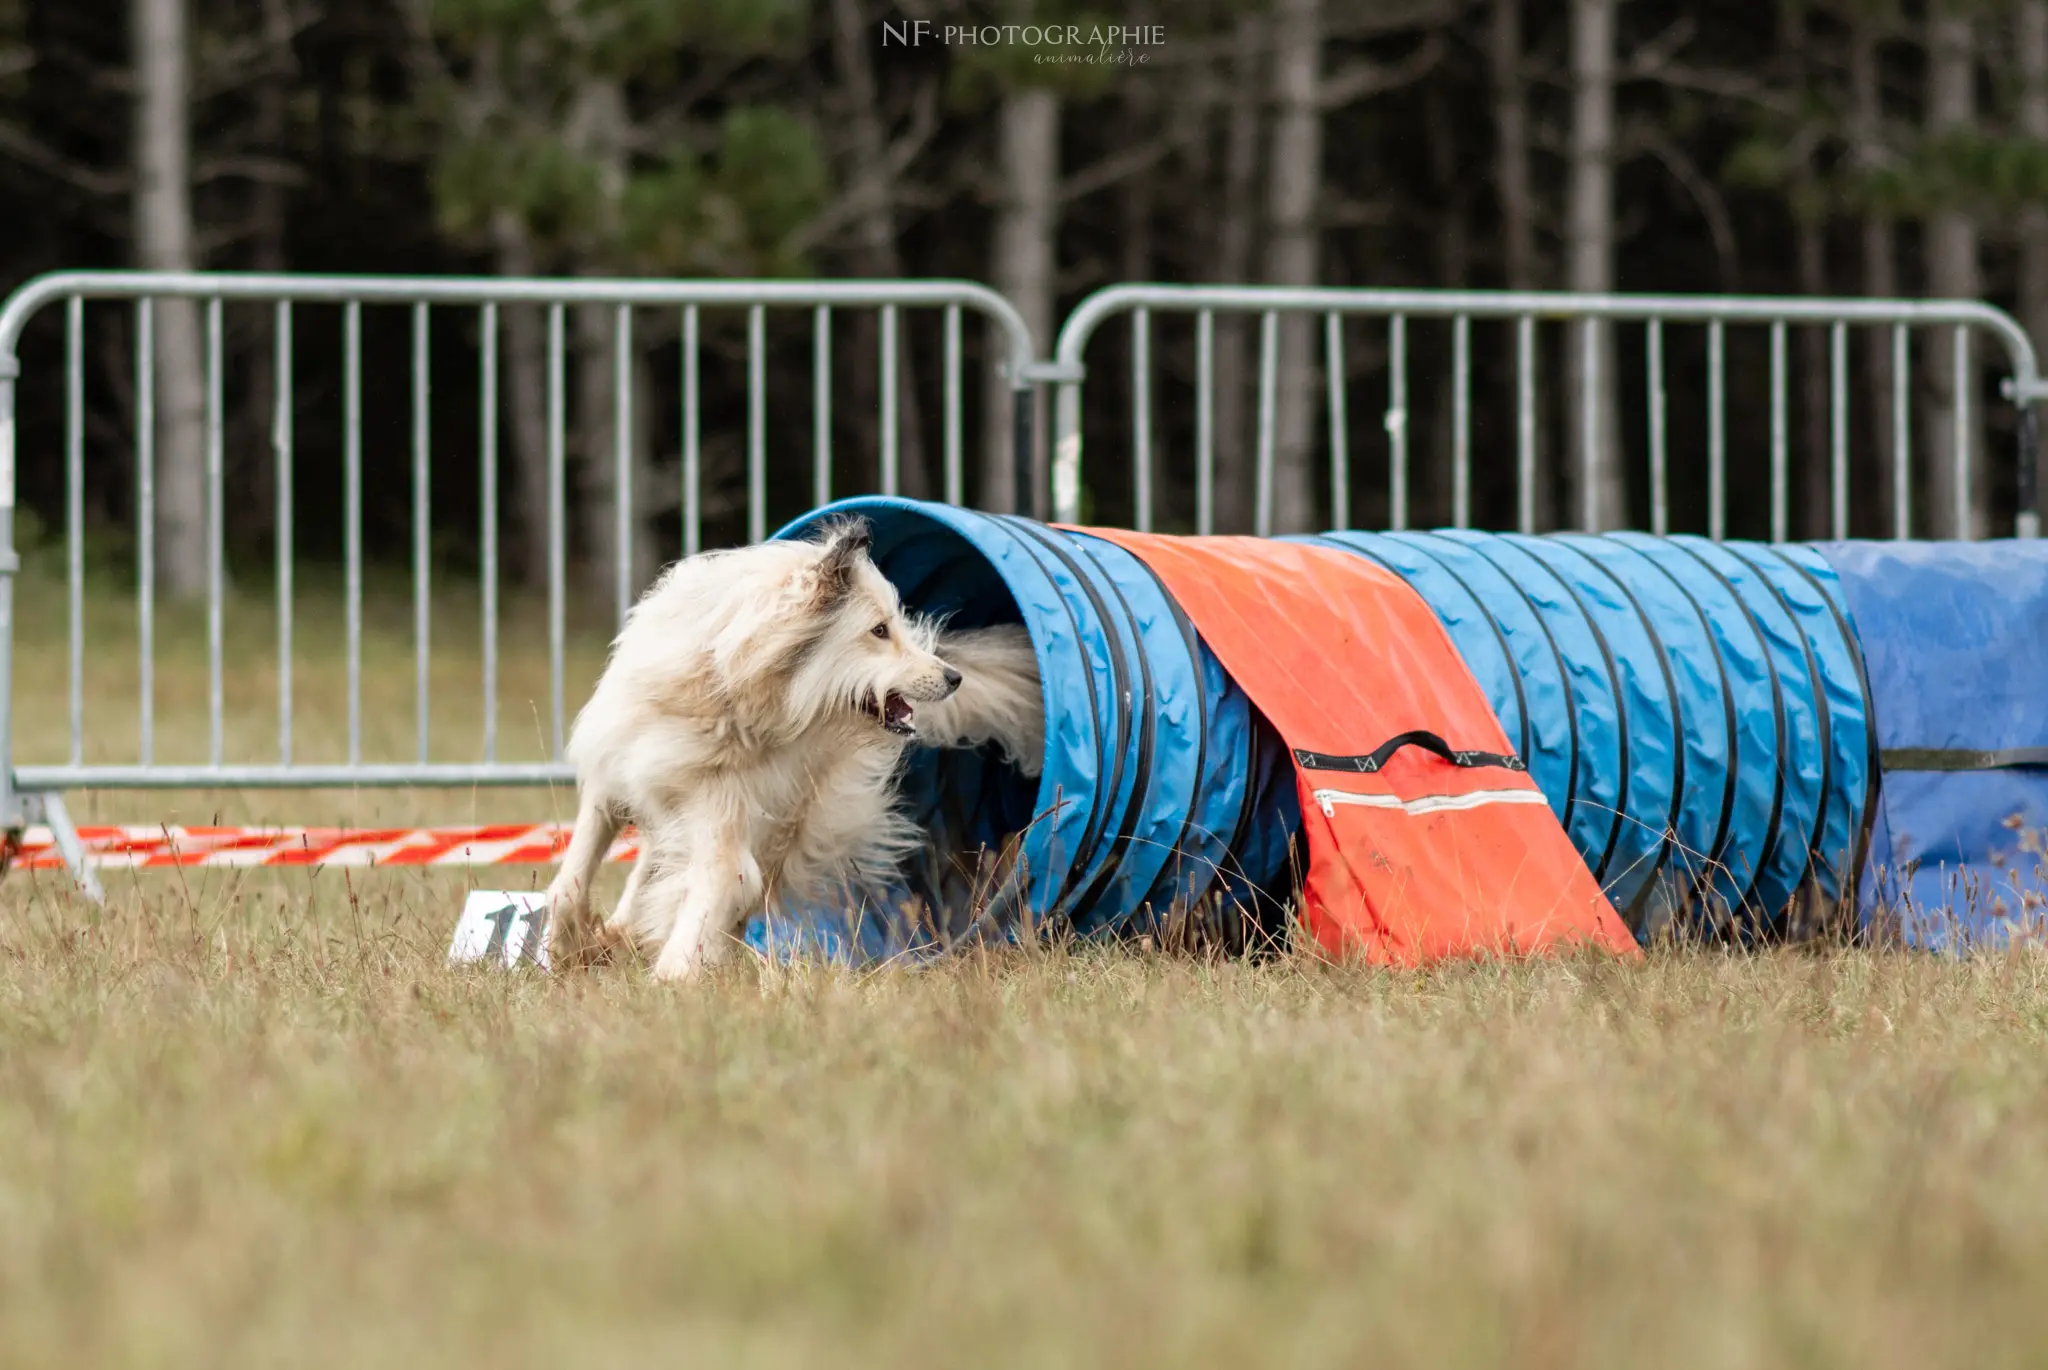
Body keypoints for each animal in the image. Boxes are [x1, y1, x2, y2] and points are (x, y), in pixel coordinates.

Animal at [540, 518, 1040, 978]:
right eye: (880, 630)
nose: (954, 678)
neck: (732, 695)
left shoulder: (725, 819)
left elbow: (714, 889)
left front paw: (672, 976)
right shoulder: (617, 779)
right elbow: (569, 882)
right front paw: (566, 949)